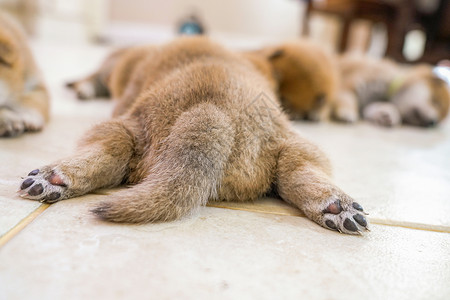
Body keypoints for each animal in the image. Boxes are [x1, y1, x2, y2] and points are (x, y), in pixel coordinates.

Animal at [18, 37, 370, 234]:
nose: (312, 110)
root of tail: (211, 109)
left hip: (124, 128)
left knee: (106, 151)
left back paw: (54, 175)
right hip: (294, 146)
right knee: (298, 171)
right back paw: (335, 207)